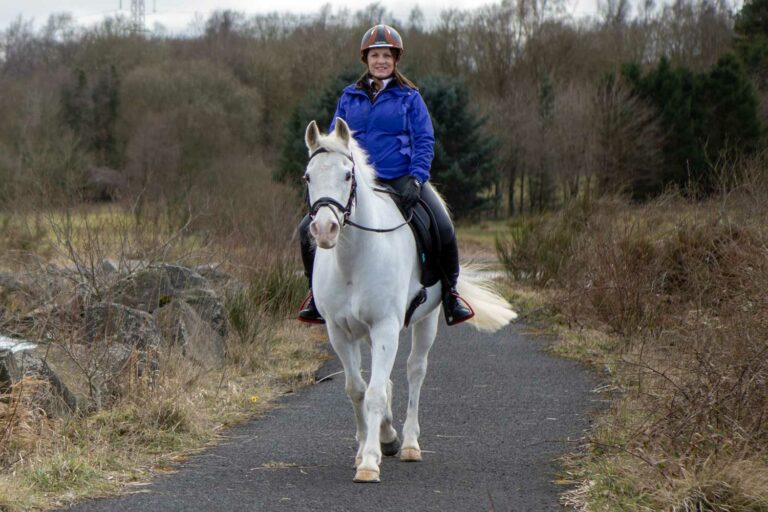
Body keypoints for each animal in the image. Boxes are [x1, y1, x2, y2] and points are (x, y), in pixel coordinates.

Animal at [304, 118, 516, 482]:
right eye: (308, 176)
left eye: (347, 175)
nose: (325, 230)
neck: (353, 258)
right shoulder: (339, 331)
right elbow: (357, 389)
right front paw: (367, 447)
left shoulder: (386, 326)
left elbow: (375, 392)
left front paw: (370, 462)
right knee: (384, 378)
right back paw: (388, 437)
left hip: (426, 320)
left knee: (415, 371)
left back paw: (408, 445)